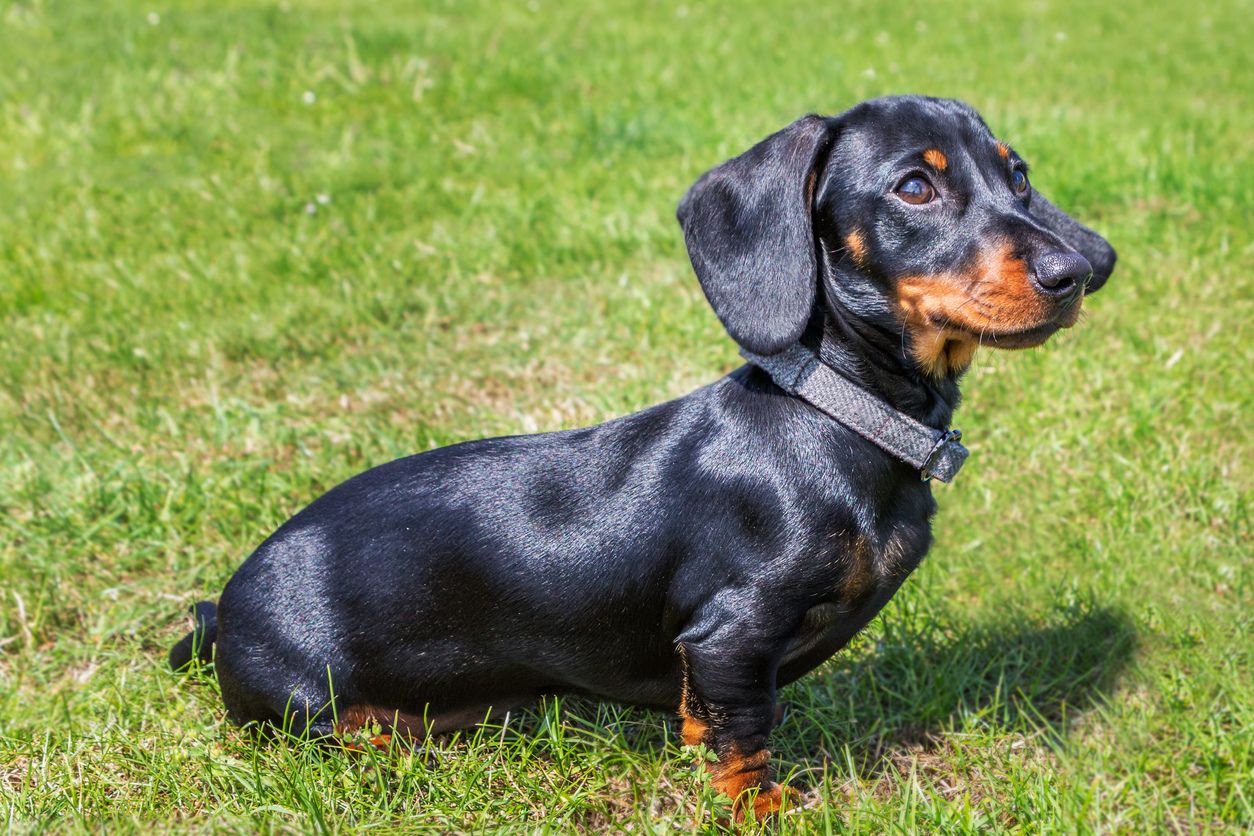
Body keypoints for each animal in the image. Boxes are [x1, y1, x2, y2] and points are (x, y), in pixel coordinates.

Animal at [169, 96, 1118, 817]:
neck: (838, 415)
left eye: (1018, 175)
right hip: (310, 701)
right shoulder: (732, 632)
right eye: (915, 186)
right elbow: (744, 739)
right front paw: (761, 811)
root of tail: (222, 609)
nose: (1076, 271)